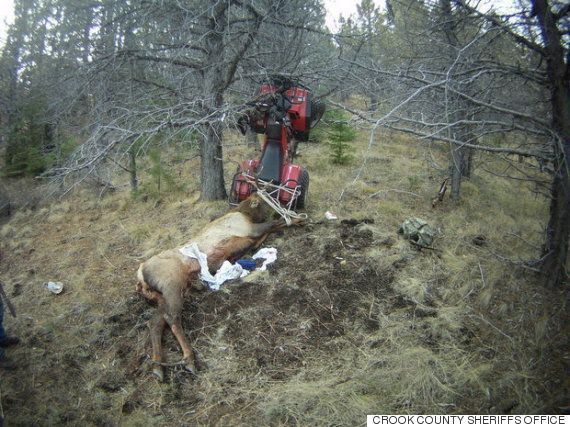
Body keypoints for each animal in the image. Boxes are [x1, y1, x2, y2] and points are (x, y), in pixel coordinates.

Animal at [136, 194, 300, 382]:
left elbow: (272, 229)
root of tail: (140, 276)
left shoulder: (254, 236)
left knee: (155, 322)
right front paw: (299, 219)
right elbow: (276, 223)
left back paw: (157, 366)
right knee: (172, 318)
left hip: (162, 296)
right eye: (265, 202)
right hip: (172, 285)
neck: (245, 213)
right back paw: (188, 359)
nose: (285, 206)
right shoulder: (250, 229)